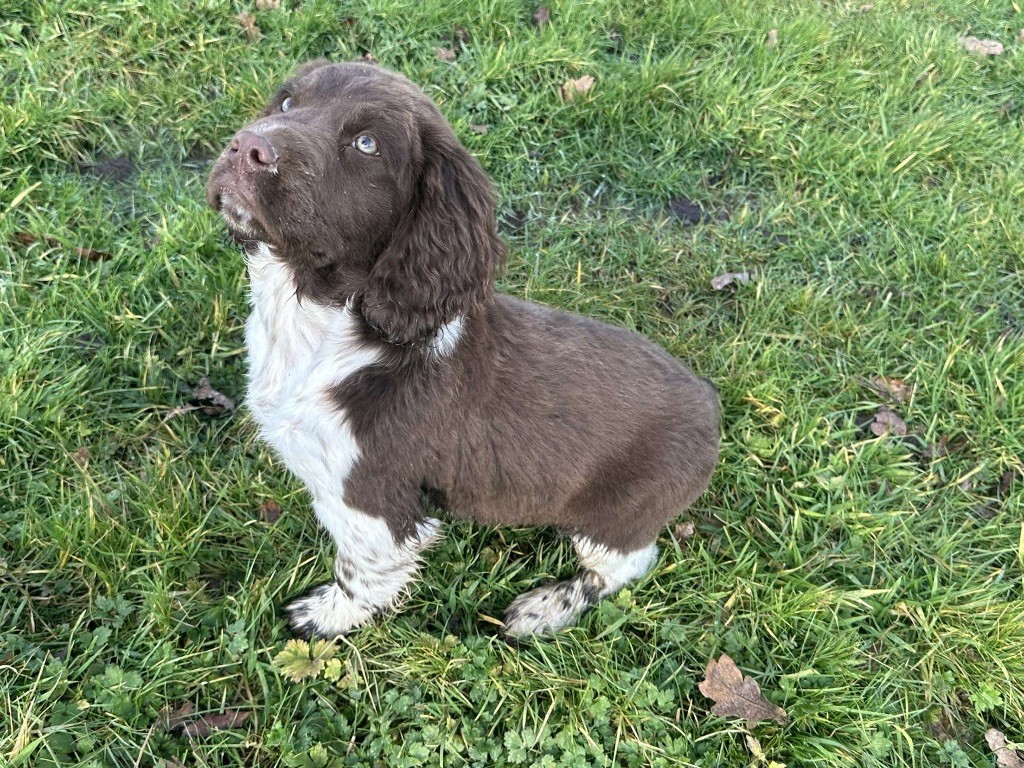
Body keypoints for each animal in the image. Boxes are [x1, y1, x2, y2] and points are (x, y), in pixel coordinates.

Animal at [205, 58, 720, 638]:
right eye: (288, 102)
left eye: (366, 144)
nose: (246, 147)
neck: (317, 327)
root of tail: (710, 404)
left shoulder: (370, 499)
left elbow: (361, 569)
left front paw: (328, 617)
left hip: (613, 515)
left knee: (624, 564)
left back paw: (545, 607)